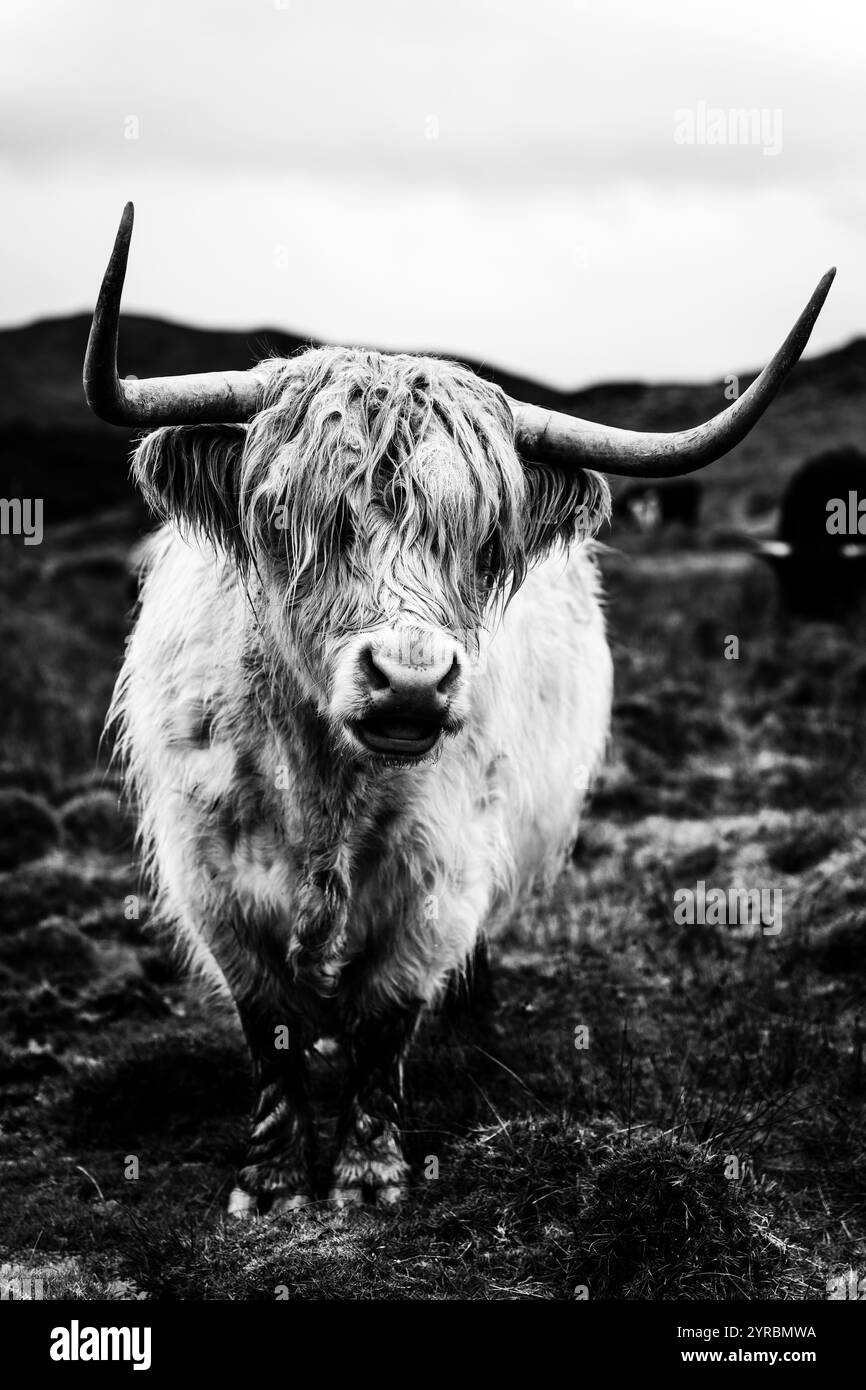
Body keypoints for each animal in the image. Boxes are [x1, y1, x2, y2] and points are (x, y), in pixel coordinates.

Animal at [86, 205, 834, 1217]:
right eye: (291, 520)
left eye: (483, 541)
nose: (410, 680)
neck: (325, 792)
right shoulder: (214, 881)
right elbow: (269, 1029)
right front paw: (273, 1181)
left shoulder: (440, 878)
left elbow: (386, 1021)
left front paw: (367, 1175)